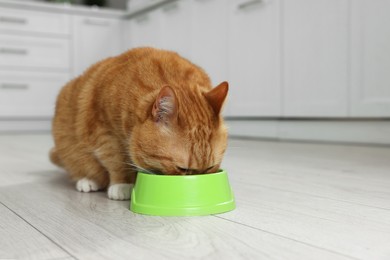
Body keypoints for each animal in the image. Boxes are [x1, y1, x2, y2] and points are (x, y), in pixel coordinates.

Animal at [50, 47, 230, 200]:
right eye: (182, 169)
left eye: (210, 168)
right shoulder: (104, 132)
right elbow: (116, 160)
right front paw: (122, 184)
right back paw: (87, 180)